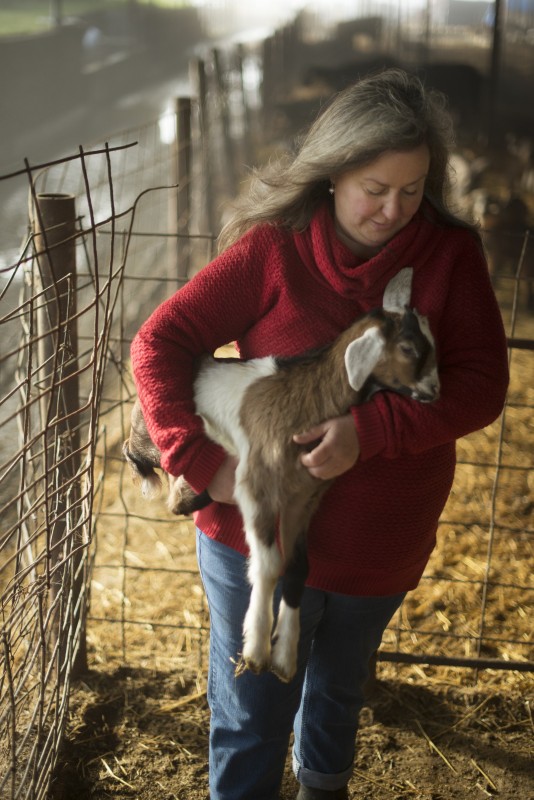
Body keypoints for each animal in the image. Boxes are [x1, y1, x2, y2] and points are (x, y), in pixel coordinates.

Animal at [124, 268, 440, 680]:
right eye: (407, 348)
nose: (434, 390)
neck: (310, 400)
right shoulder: (256, 489)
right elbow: (269, 563)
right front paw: (256, 650)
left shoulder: (303, 498)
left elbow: (297, 566)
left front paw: (285, 657)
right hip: (149, 441)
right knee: (152, 468)